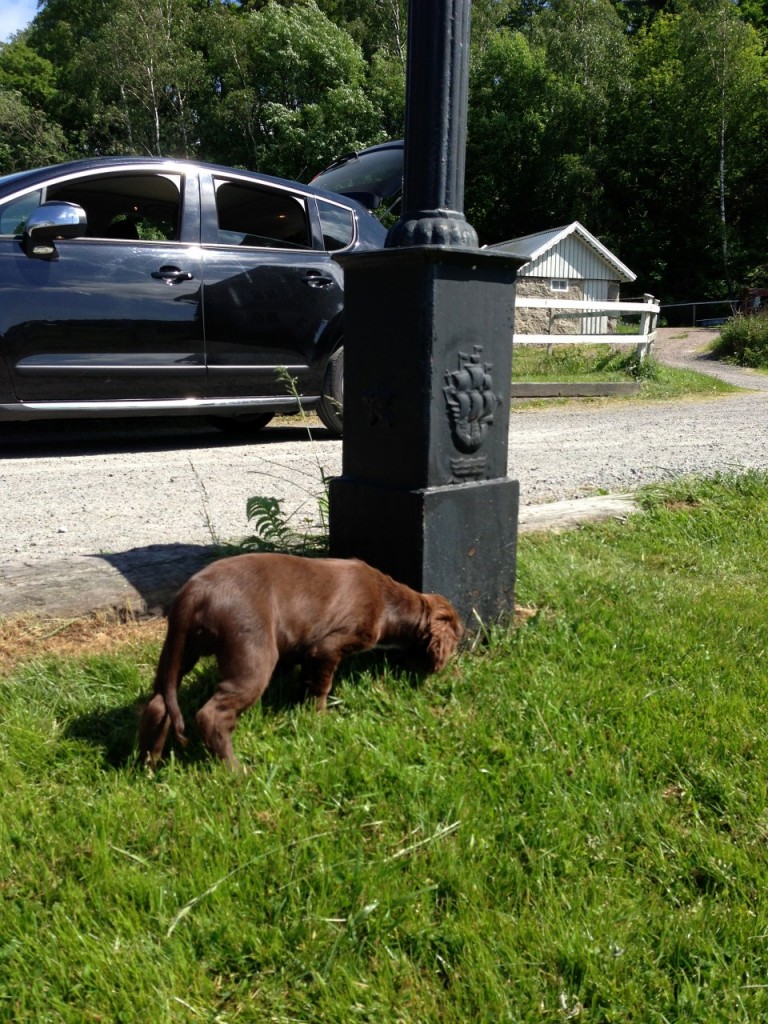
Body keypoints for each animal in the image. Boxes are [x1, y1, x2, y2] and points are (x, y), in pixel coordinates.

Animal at [138, 552, 462, 770]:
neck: (388, 602)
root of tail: (195, 593)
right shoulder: (328, 646)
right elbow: (321, 686)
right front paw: (320, 718)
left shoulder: (303, 651)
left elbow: (304, 680)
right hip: (253, 653)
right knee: (212, 715)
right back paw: (236, 772)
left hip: (182, 649)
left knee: (158, 703)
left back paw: (149, 764)